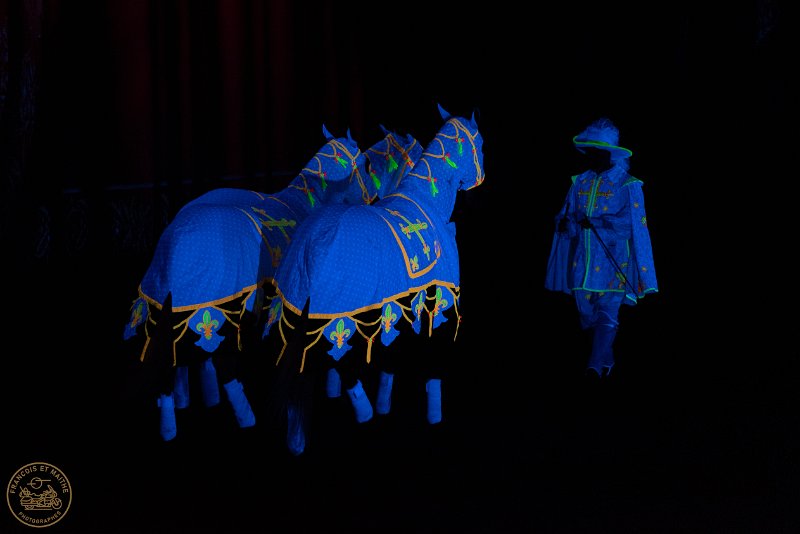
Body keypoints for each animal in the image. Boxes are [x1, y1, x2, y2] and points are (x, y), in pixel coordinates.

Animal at [122, 125, 377, 441]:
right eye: (366, 163)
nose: (374, 197)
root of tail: (177, 242)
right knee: (217, 360)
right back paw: (243, 416)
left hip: (175, 302)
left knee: (173, 356)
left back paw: (176, 413)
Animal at [269, 104, 485, 455]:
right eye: (480, 143)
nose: (479, 180)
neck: (426, 201)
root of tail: (315, 242)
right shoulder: (438, 300)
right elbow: (432, 353)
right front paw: (433, 413)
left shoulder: (399, 303)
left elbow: (390, 353)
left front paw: (386, 400)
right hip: (337, 315)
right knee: (336, 362)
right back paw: (363, 412)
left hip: (298, 312)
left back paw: (299, 437)